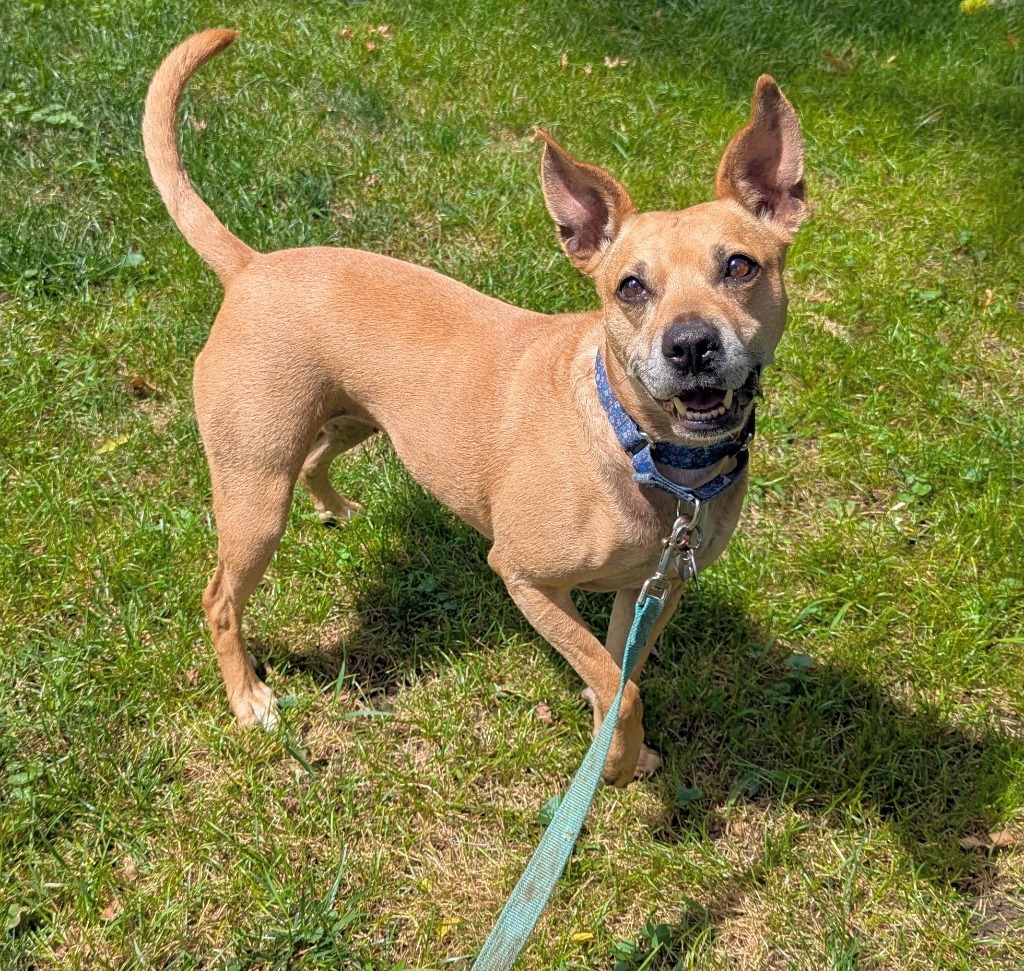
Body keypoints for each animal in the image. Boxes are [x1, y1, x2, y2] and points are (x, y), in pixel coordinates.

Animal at [144, 28, 802, 790]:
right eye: (631, 287)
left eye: (741, 266)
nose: (691, 345)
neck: (644, 452)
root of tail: (250, 266)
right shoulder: (524, 577)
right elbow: (621, 687)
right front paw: (614, 765)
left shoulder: (653, 591)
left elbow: (618, 676)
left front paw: (614, 749)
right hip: (255, 496)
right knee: (220, 598)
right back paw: (248, 697)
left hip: (355, 421)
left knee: (315, 460)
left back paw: (337, 509)